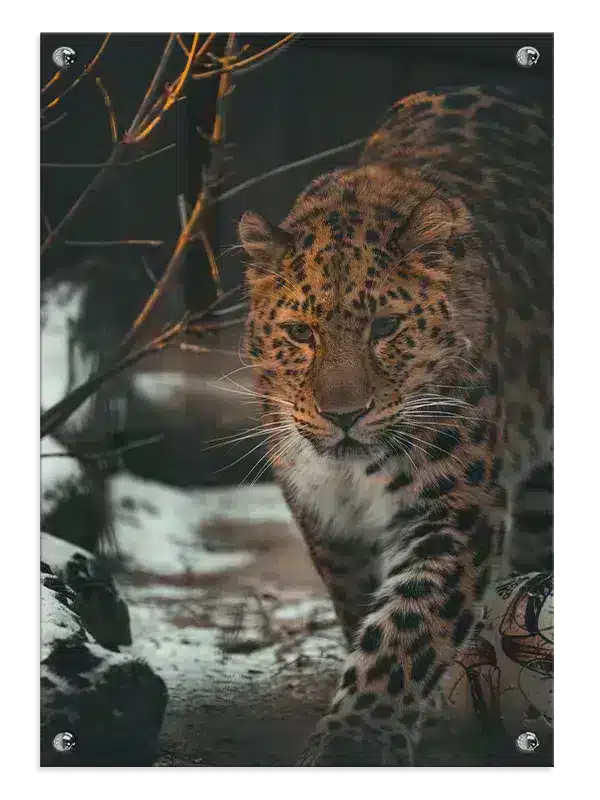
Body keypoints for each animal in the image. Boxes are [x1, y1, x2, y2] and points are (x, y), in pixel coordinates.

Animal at [237, 85, 554, 767]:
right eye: (300, 333)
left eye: (385, 328)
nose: (343, 415)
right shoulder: (324, 516)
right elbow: (362, 605)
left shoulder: (454, 508)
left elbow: (409, 630)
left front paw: (357, 739)